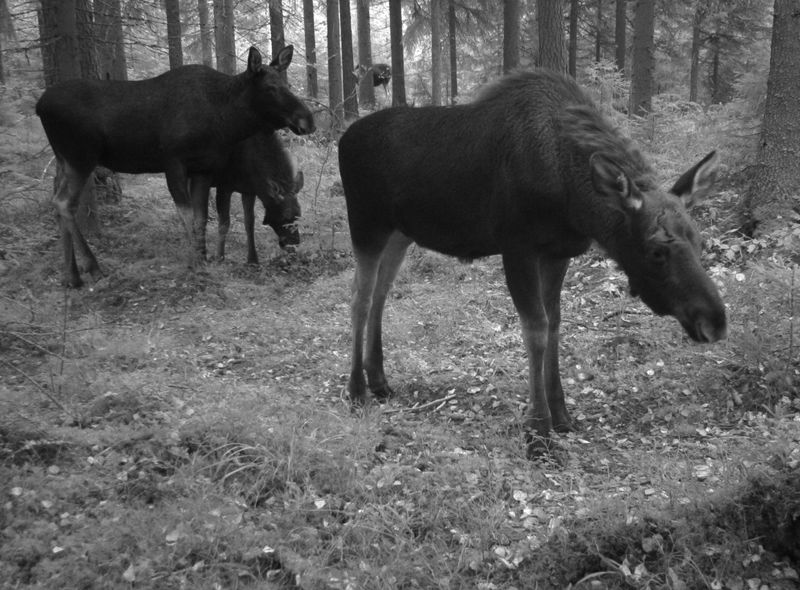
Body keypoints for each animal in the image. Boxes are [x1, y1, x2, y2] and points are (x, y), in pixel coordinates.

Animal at [214, 134, 304, 266]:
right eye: (284, 217)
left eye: (299, 215)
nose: (293, 246)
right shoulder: (223, 186)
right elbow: (224, 224)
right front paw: (219, 257)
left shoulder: (248, 191)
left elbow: (249, 223)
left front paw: (253, 259)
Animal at [340, 68, 728, 458]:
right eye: (656, 251)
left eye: (699, 241)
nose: (715, 321)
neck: (573, 202)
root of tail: (343, 139)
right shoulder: (517, 247)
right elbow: (536, 330)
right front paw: (539, 432)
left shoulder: (557, 253)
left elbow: (554, 323)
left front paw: (562, 415)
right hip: (366, 224)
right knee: (360, 297)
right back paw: (357, 390)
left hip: (399, 233)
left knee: (381, 293)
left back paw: (379, 380)